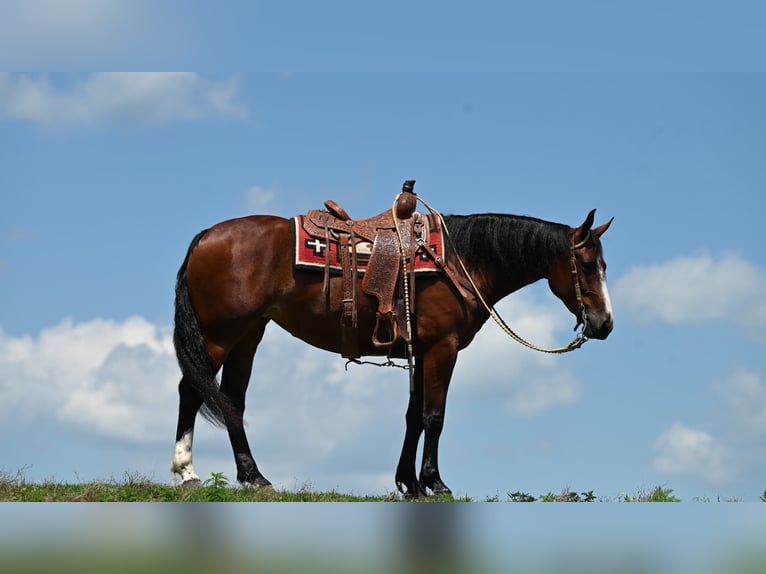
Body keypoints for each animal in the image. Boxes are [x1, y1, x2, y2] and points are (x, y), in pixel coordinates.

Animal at [171, 205, 616, 498]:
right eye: (587, 265)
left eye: (604, 264)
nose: (605, 323)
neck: (461, 261)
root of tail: (206, 236)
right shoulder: (442, 348)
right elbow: (434, 416)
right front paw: (435, 482)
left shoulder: (421, 351)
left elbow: (414, 416)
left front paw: (409, 482)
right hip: (220, 335)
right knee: (192, 390)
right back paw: (187, 472)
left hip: (248, 334)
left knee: (231, 400)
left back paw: (253, 476)